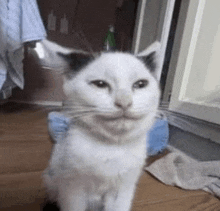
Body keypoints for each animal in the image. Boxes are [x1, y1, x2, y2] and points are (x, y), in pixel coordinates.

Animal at [41, 40, 161, 211]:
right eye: (100, 84)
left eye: (140, 84)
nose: (124, 102)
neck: (111, 147)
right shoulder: (72, 188)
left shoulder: (125, 187)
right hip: (51, 178)